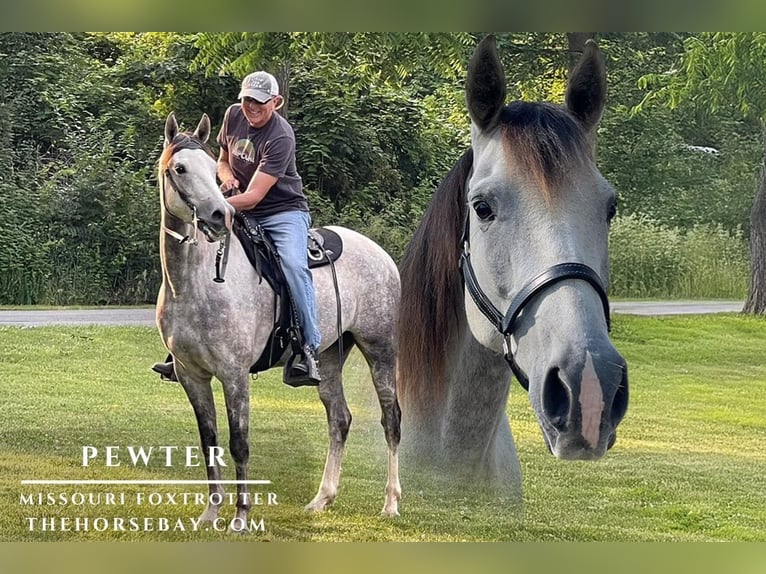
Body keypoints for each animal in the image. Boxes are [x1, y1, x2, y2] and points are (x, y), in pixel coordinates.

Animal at [155, 112, 401, 531]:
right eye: (180, 168)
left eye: (213, 172)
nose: (219, 216)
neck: (194, 283)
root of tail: (381, 255)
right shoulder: (192, 375)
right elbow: (209, 442)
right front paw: (211, 512)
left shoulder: (234, 374)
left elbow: (239, 443)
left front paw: (241, 515)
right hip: (330, 356)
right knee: (340, 419)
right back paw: (322, 498)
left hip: (380, 350)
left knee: (391, 420)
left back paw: (390, 503)